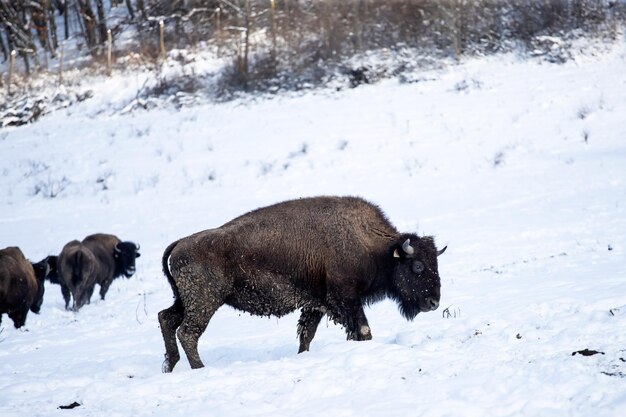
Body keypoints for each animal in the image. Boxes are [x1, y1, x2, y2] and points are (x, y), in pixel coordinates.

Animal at [158, 195, 446, 370]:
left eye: (436, 263)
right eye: (417, 266)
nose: (434, 302)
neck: (373, 246)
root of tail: (180, 244)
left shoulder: (316, 305)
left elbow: (307, 334)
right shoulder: (345, 300)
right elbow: (362, 330)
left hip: (184, 300)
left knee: (166, 319)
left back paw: (170, 366)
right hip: (204, 303)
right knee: (187, 332)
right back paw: (199, 368)